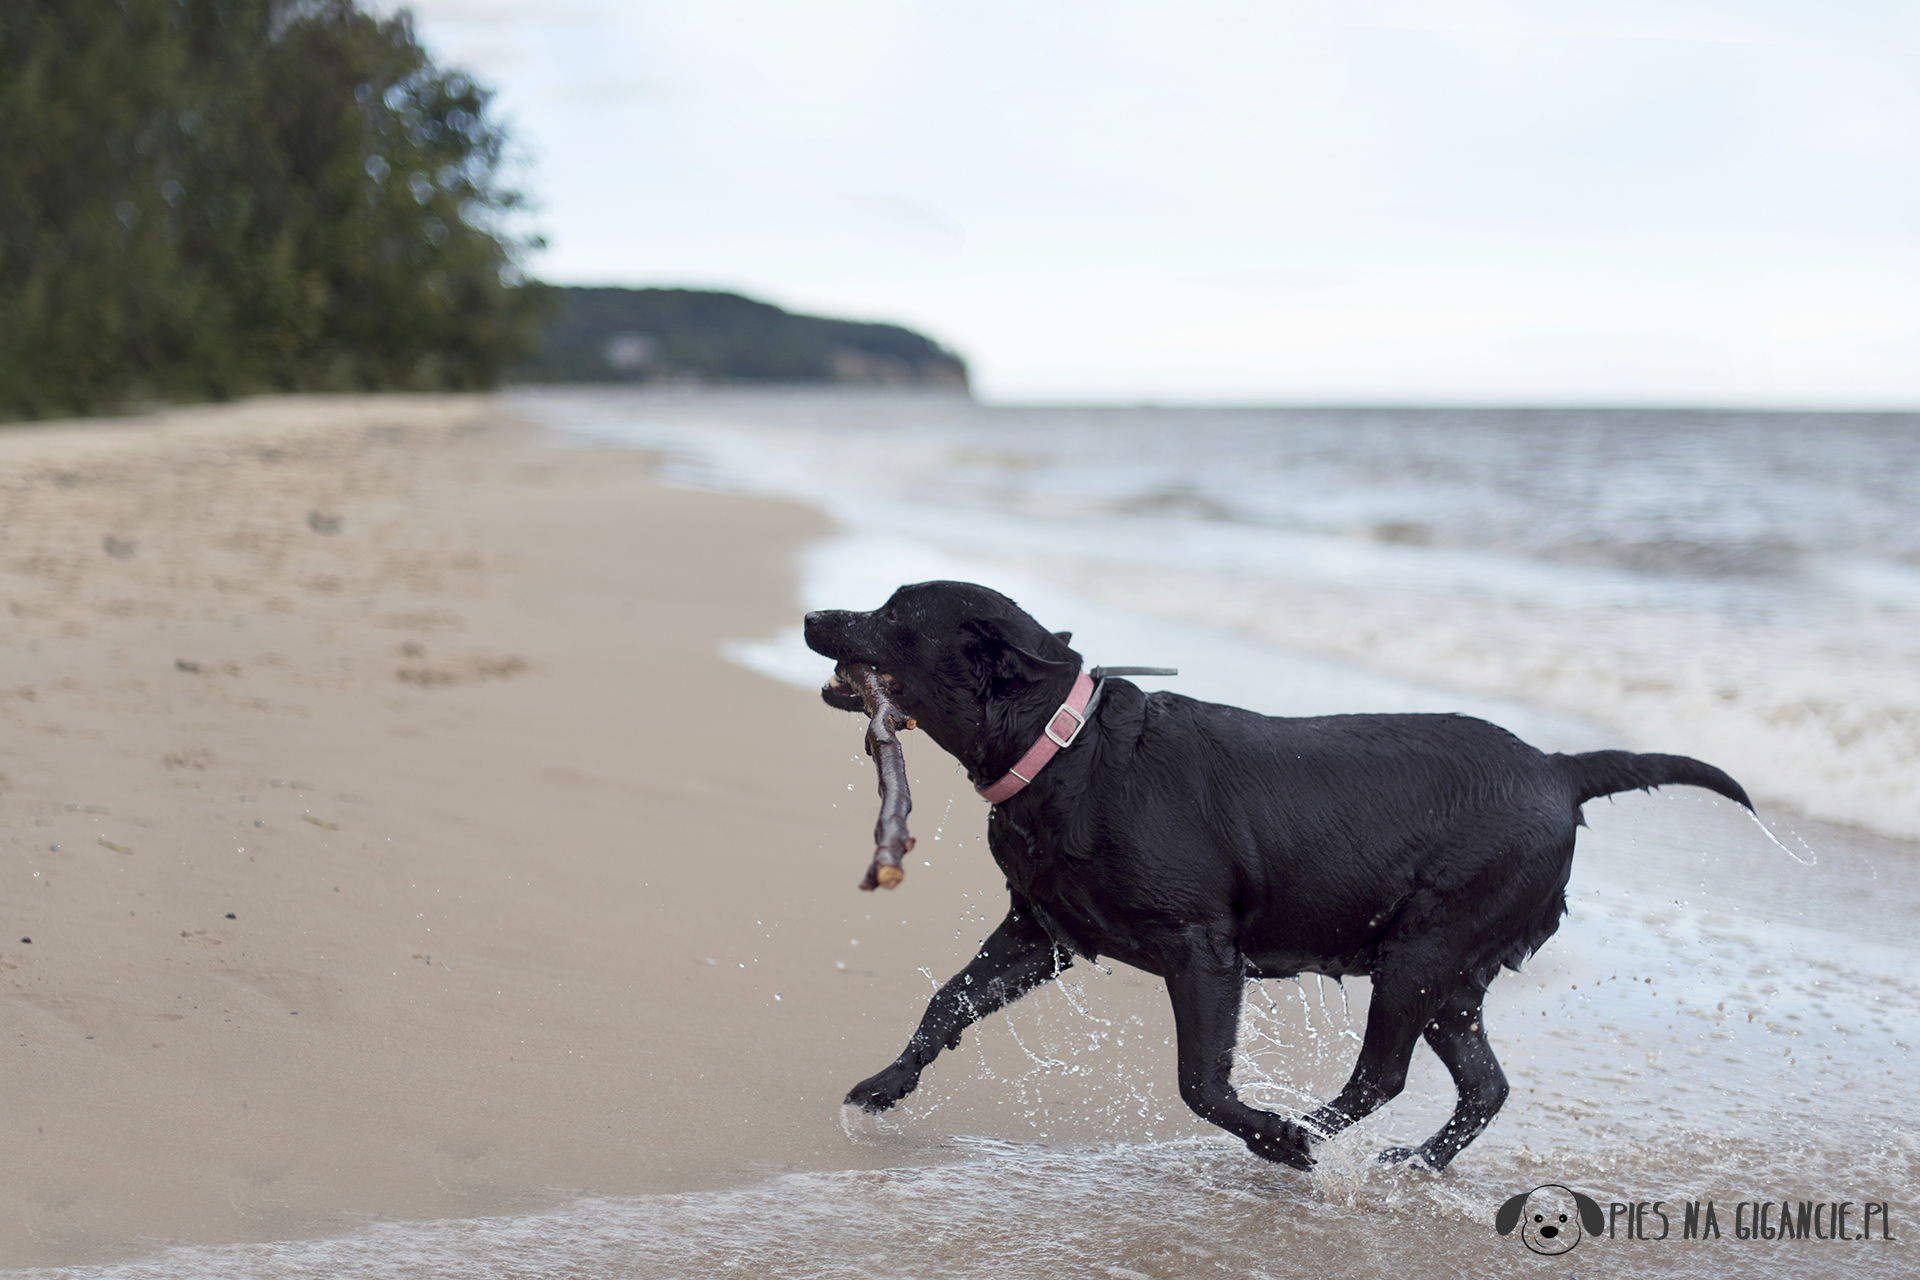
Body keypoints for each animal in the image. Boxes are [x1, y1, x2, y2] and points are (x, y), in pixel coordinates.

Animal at [802, 579, 1751, 1174]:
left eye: (894, 613)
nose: (813, 614)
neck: (1065, 749)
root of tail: (1560, 770)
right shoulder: (1042, 933)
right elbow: (946, 1003)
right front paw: (884, 1087)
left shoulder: (1201, 951)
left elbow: (1200, 1082)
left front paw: (1268, 1134)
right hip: (1450, 976)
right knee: (1484, 1084)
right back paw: (1412, 1163)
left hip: (1421, 952)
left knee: (1381, 1077)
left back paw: (1299, 1135)